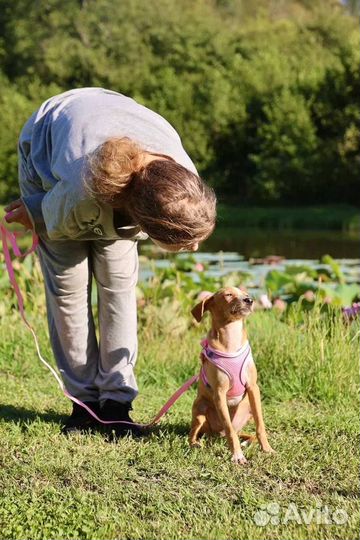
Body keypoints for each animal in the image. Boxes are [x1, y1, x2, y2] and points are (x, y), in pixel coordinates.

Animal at [188, 286, 272, 464]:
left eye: (246, 294)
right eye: (228, 295)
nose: (250, 300)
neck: (231, 340)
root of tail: (215, 434)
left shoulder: (253, 388)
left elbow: (260, 425)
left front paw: (267, 449)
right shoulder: (219, 393)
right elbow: (229, 429)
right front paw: (237, 455)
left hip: (248, 408)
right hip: (199, 408)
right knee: (193, 433)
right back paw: (196, 444)